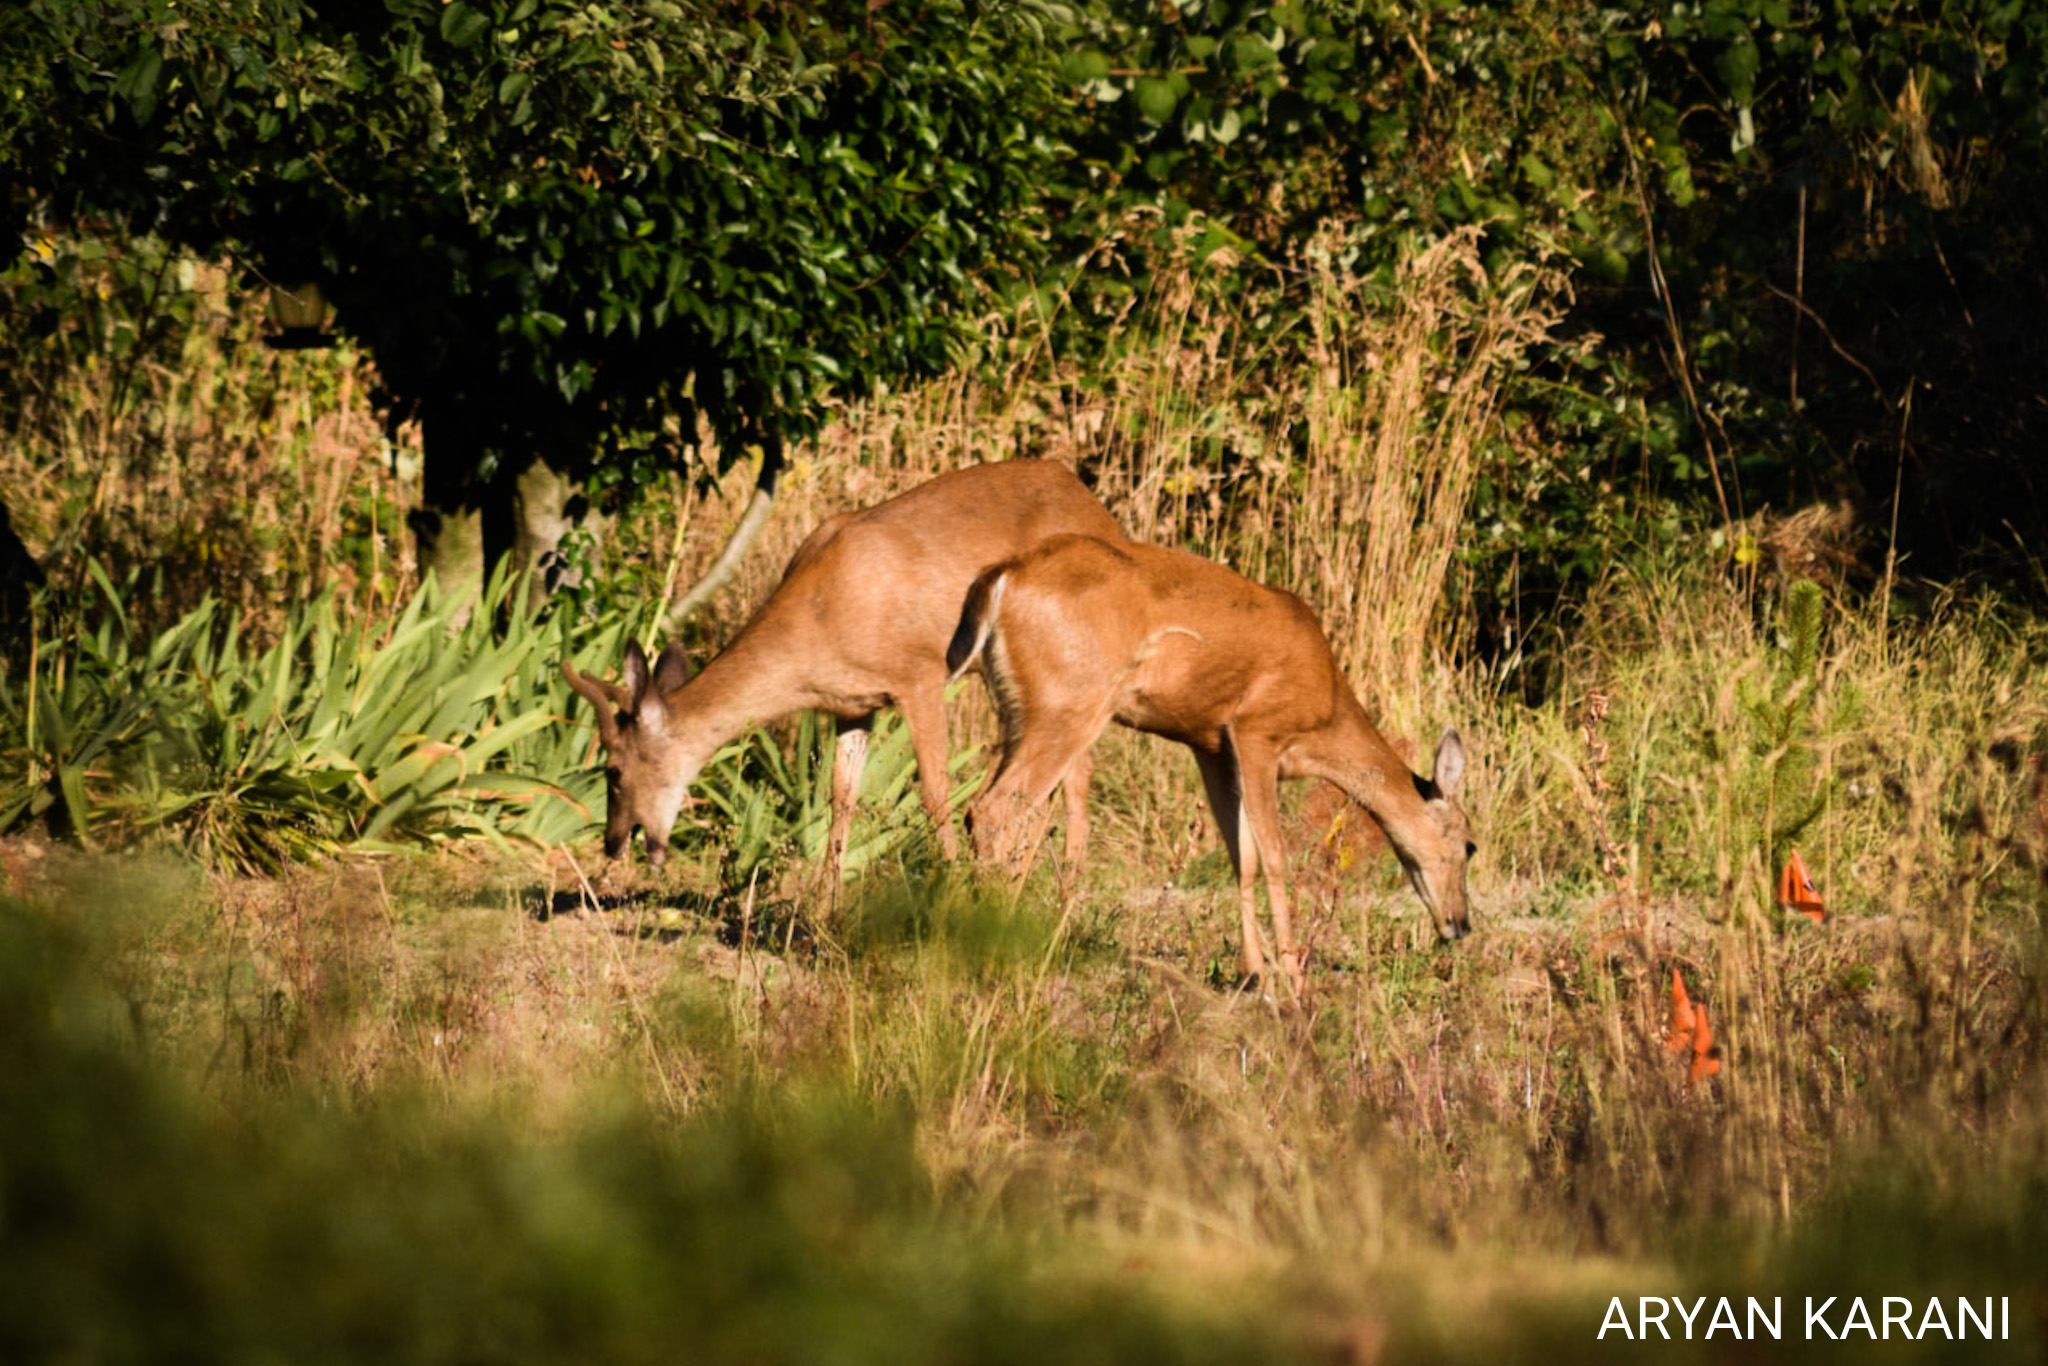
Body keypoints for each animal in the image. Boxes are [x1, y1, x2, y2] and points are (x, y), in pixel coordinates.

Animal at [561, 461, 1123, 875]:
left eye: (613, 769)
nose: (612, 843)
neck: (821, 618)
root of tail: (1102, 513)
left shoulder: (919, 674)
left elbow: (935, 793)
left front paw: (948, 886)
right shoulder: (853, 704)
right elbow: (842, 799)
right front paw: (824, 907)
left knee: (1071, 777)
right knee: (1057, 778)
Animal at [946, 533, 1473, 997]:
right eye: (1470, 847)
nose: (1462, 925)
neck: (1326, 714)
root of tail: (1003, 577)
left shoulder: (1213, 747)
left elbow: (1243, 859)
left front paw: (1255, 973)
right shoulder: (1257, 731)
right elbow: (1275, 857)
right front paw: (1293, 980)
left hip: (1016, 709)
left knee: (1004, 817)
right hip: (1066, 705)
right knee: (992, 812)